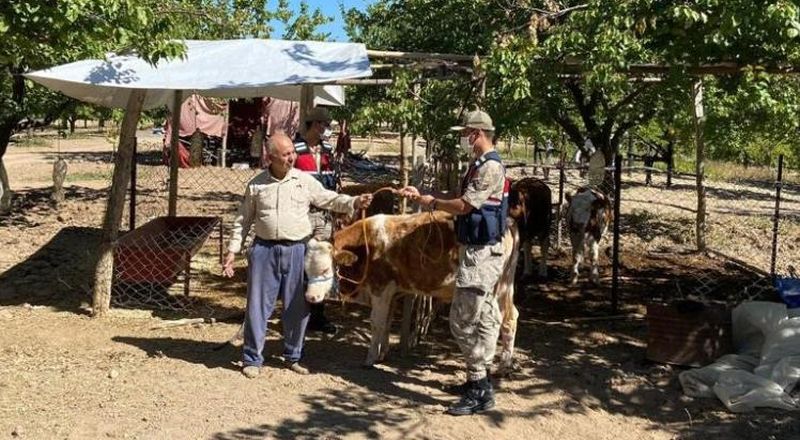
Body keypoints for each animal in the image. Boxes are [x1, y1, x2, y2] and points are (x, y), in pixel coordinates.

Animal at [304, 211, 520, 370]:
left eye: (325, 269)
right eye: (305, 271)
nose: (310, 297)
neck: (365, 246)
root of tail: (508, 222)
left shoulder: (381, 288)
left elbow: (377, 323)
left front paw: (370, 358)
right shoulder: (392, 293)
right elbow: (387, 323)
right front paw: (382, 354)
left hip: (491, 290)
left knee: (495, 322)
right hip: (505, 287)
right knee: (510, 318)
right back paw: (504, 364)